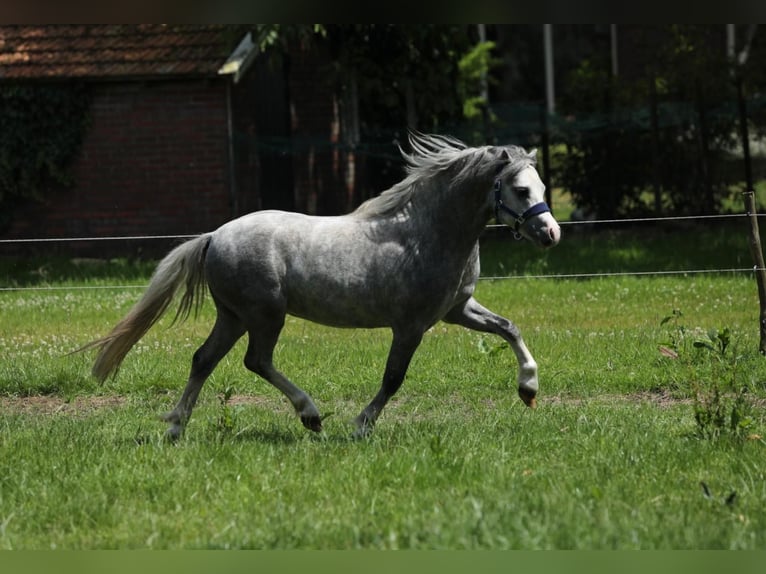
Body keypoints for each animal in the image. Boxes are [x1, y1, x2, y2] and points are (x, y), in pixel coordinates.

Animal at [84, 134, 560, 440]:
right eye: (521, 189)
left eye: (540, 186)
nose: (551, 234)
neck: (425, 233)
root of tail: (214, 237)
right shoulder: (410, 325)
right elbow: (393, 378)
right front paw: (362, 426)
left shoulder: (456, 310)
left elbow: (509, 328)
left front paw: (529, 389)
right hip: (265, 315)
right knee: (256, 361)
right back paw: (311, 416)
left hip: (234, 316)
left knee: (204, 359)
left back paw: (176, 428)